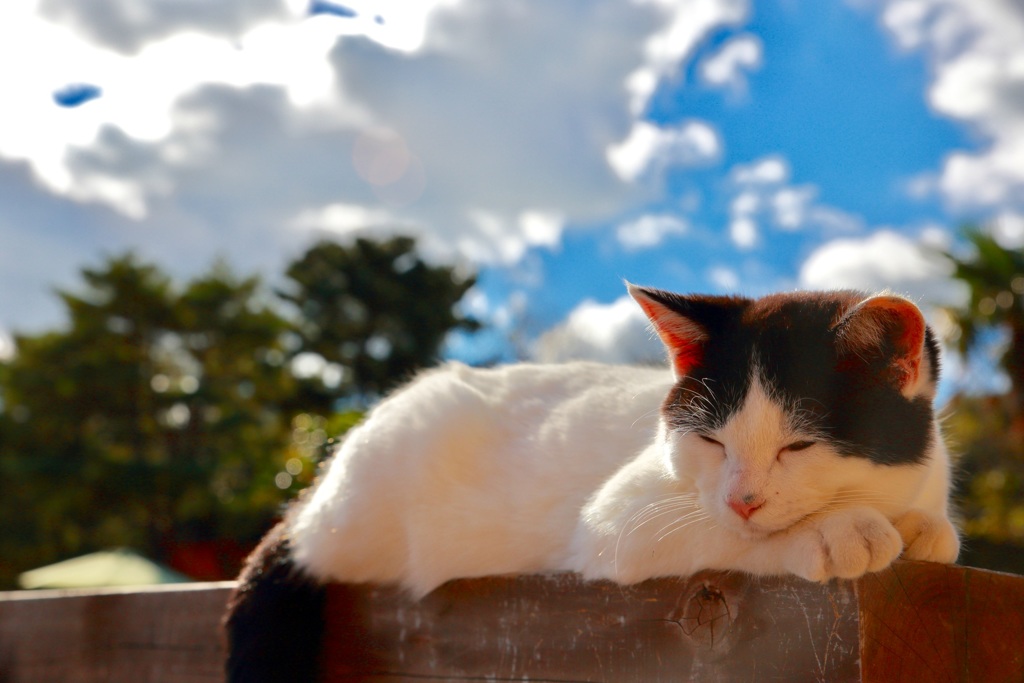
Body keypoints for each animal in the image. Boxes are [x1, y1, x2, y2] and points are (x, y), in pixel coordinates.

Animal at [224, 284, 958, 683]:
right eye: (712, 441)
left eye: (799, 444)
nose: (741, 498)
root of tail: (313, 503)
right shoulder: (620, 521)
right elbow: (724, 536)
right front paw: (835, 532)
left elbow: (932, 531)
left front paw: (922, 529)